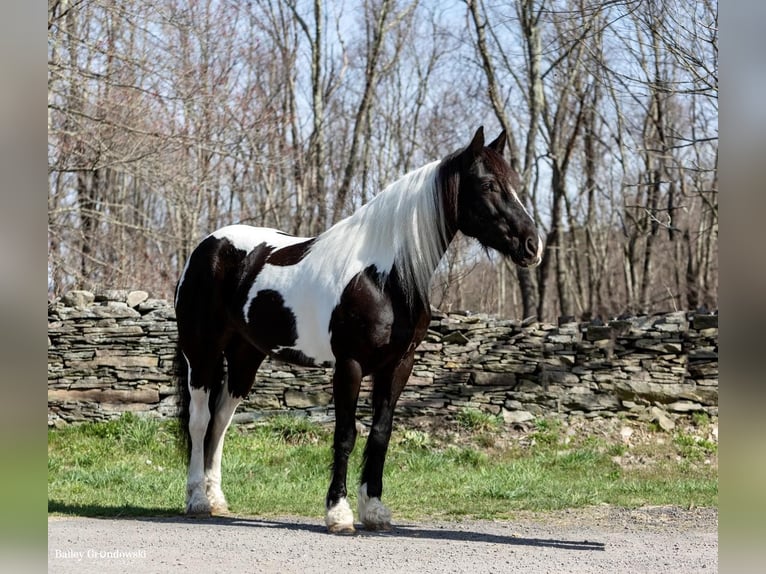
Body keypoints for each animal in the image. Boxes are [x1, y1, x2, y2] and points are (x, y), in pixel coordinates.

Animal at [174, 127, 544, 536]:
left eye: (514, 184)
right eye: (488, 184)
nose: (533, 245)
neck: (383, 277)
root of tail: (207, 246)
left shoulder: (398, 365)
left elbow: (381, 433)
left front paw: (375, 510)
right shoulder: (349, 365)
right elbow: (346, 434)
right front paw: (338, 513)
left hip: (245, 357)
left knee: (221, 421)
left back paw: (217, 500)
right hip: (202, 352)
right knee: (200, 420)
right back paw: (197, 500)